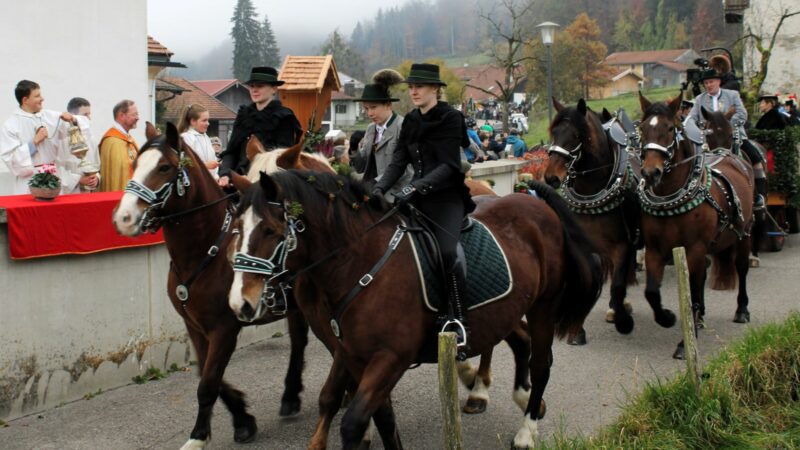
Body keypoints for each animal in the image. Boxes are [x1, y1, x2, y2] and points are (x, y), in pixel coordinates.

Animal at [111, 121, 326, 448]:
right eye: (134, 165)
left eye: (164, 167)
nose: (124, 218)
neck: (204, 250)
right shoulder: (195, 326)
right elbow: (205, 372)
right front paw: (243, 418)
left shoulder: (224, 329)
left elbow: (208, 382)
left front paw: (200, 435)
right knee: (299, 340)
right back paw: (290, 396)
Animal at [225, 170, 608, 450]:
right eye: (235, 229)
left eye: (271, 230)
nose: (240, 303)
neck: (358, 261)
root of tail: (535, 204)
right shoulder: (351, 354)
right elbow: (363, 411)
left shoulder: (390, 358)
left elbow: (353, 422)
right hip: (508, 309)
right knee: (520, 342)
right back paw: (512, 396)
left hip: (544, 306)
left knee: (541, 363)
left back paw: (526, 430)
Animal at [540, 98, 640, 342]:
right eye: (554, 132)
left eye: (577, 135)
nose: (551, 177)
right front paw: (577, 329)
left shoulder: (622, 245)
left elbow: (617, 284)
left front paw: (622, 318)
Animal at [636, 94, 756, 358]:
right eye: (642, 129)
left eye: (670, 128)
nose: (651, 172)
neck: (672, 198)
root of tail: (728, 155)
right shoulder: (655, 251)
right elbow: (651, 292)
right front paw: (667, 317)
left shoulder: (695, 248)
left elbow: (690, 289)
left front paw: (684, 344)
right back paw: (699, 320)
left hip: (744, 233)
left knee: (741, 268)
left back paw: (741, 310)